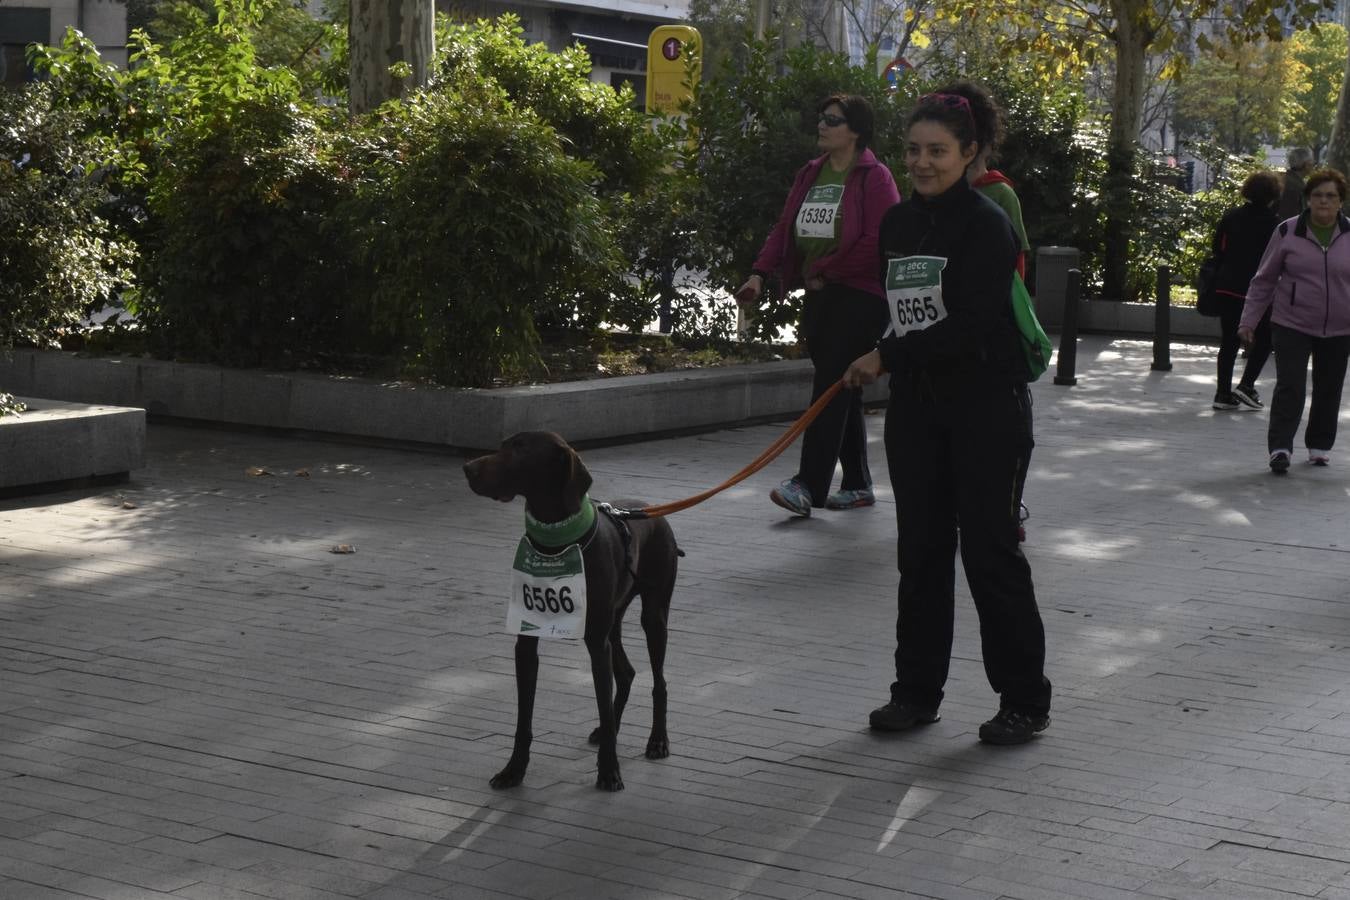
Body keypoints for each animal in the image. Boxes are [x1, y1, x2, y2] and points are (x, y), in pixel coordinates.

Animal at [464, 431, 680, 793]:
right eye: (504, 444)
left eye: (521, 448)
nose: (467, 468)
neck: (556, 543)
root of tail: (652, 510)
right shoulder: (527, 641)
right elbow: (524, 718)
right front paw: (514, 770)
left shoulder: (596, 642)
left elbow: (603, 702)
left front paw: (609, 771)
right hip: (613, 623)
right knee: (626, 673)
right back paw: (609, 730)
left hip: (653, 615)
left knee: (658, 682)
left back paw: (657, 740)